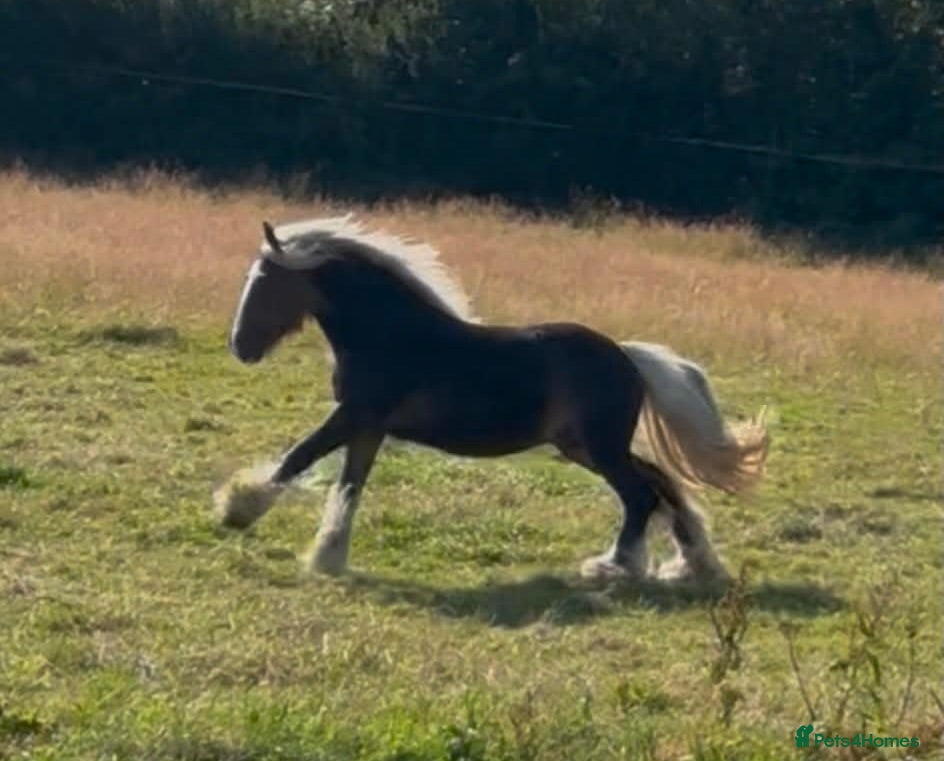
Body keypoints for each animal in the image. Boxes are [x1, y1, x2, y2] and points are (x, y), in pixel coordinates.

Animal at [220, 214, 768, 582]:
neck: (390, 333)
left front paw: (236, 508)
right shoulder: (368, 427)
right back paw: (691, 563)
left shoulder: (355, 415)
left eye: (266, 281)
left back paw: (615, 566)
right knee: (661, 483)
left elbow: (298, 457)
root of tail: (628, 358)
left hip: (599, 447)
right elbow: (349, 486)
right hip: (584, 447)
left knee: (640, 494)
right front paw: (328, 556)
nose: (241, 347)